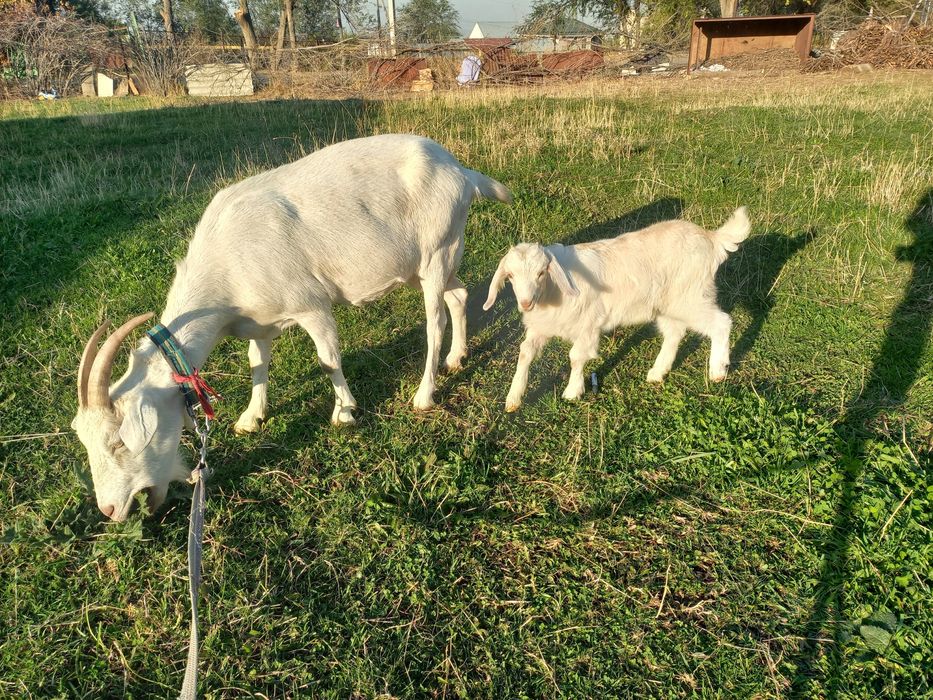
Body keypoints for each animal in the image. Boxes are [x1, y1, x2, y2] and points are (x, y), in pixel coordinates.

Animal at [73, 134, 512, 521]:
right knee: (458, 296)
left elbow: (327, 359)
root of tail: (460, 171)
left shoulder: (310, 304)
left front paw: (344, 411)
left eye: (119, 441)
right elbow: (257, 363)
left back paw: (425, 393)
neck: (225, 266)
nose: (109, 509)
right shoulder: (259, 322)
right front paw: (251, 417)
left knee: (435, 320)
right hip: (427, 263)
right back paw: (457, 357)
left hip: (437, 250)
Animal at [483, 207, 750, 412]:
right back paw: (657, 372)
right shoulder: (542, 326)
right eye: (510, 276)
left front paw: (572, 391)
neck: (552, 292)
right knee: (675, 333)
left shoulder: (588, 326)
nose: (526, 303)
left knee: (721, 322)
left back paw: (717, 370)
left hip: (691, 297)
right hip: (669, 303)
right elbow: (525, 353)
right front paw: (513, 399)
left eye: (541, 273)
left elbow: (576, 357)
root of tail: (711, 238)